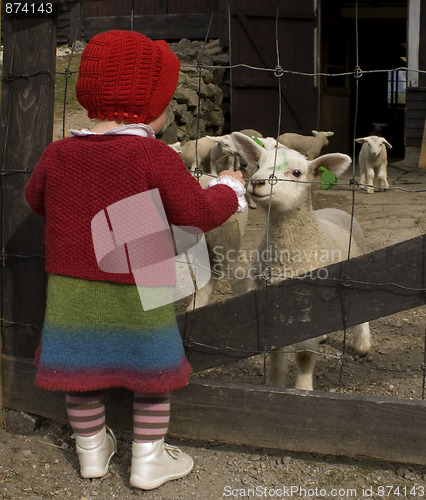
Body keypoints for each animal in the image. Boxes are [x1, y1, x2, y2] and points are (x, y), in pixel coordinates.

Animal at [231, 132, 372, 390]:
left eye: (297, 173)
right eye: (258, 164)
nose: (256, 182)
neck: (287, 258)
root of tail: (334, 209)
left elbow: (304, 355)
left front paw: (303, 389)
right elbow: (276, 350)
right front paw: (275, 384)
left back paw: (362, 345)